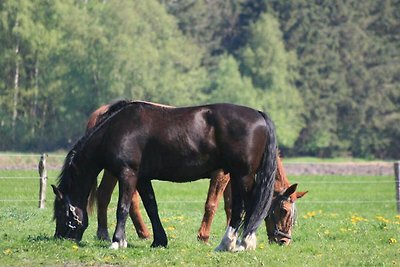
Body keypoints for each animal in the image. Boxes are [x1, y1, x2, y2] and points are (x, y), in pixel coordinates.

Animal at [52, 99, 278, 252]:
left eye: (62, 212)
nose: (60, 238)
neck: (116, 129)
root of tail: (259, 115)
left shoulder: (128, 174)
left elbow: (122, 207)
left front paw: (117, 241)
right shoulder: (142, 179)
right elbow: (151, 207)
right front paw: (159, 240)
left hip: (242, 176)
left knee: (243, 208)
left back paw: (235, 243)